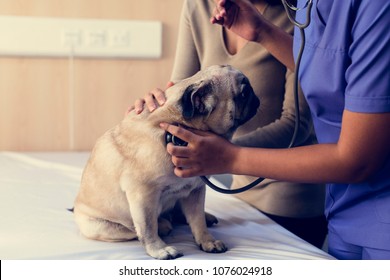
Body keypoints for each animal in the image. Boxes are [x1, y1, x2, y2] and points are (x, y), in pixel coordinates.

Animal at [74, 64, 260, 260]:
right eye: (244, 93)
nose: (256, 97)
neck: (177, 124)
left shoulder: (196, 190)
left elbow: (197, 221)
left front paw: (207, 241)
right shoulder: (143, 195)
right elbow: (148, 227)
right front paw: (159, 249)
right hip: (103, 227)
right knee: (135, 229)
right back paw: (163, 225)